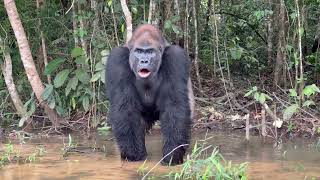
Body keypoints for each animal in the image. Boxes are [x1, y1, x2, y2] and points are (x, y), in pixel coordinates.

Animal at [106, 24, 194, 165]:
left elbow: (174, 105)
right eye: (139, 51)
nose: (144, 61)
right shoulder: (116, 58)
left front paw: (173, 154)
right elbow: (125, 107)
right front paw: (133, 153)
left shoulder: (176, 57)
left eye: (150, 52)